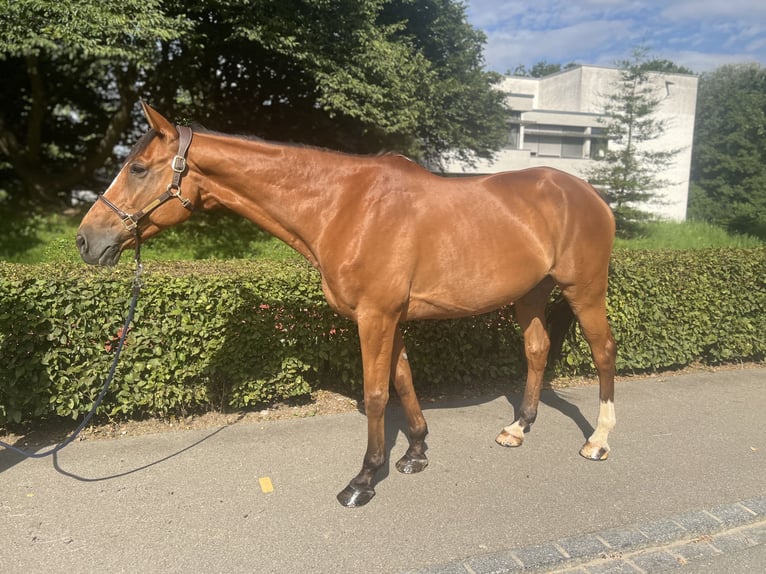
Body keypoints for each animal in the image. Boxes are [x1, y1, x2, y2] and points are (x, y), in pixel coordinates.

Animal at [76, 103, 616, 508]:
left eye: (137, 168)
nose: (86, 240)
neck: (345, 206)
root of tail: (590, 194)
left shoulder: (375, 316)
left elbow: (376, 394)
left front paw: (365, 479)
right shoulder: (389, 317)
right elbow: (402, 379)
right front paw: (415, 452)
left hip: (585, 290)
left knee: (604, 351)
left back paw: (598, 440)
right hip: (532, 293)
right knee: (537, 350)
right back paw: (518, 428)